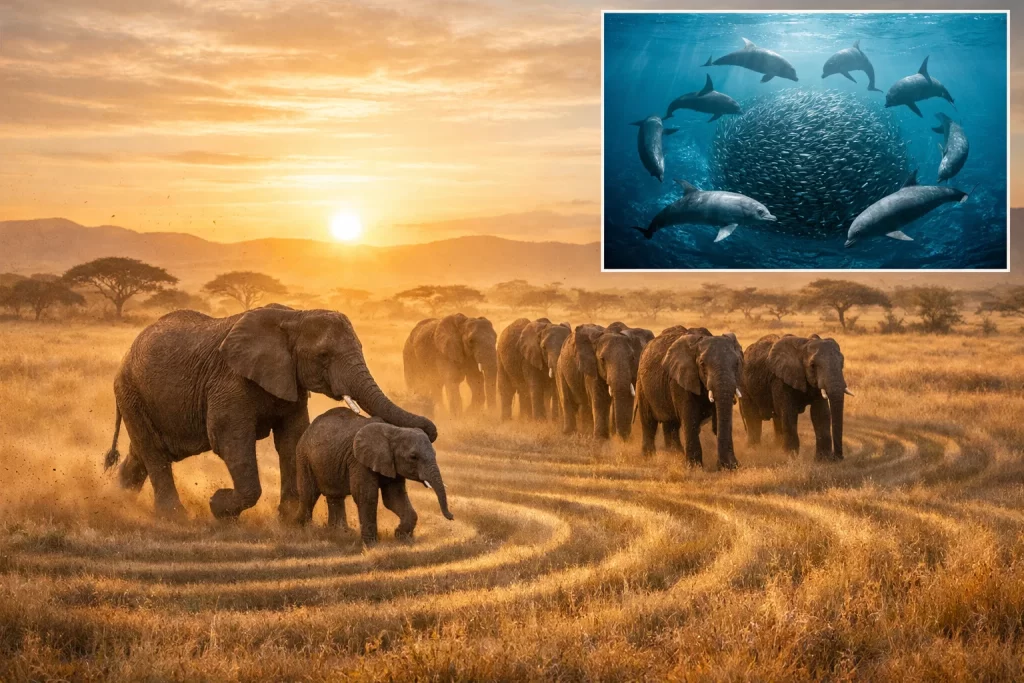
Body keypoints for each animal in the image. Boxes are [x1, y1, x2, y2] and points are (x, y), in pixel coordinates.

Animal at [103, 305, 437, 520]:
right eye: (323, 356)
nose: (431, 430)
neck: (294, 317)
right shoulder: (230, 380)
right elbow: (229, 439)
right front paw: (218, 505)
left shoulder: (290, 379)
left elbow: (291, 439)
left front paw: (286, 517)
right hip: (130, 391)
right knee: (154, 453)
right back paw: (174, 518)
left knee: (143, 454)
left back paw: (118, 501)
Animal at [295, 407, 453, 545]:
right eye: (413, 457)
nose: (451, 516)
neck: (393, 431)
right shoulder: (358, 460)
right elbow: (366, 496)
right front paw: (371, 545)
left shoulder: (391, 464)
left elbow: (394, 497)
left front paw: (401, 537)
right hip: (304, 457)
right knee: (309, 494)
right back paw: (301, 529)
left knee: (335, 496)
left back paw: (339, 532)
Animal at [635, 326, 743, 469]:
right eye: (702, 364)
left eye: (737, 364)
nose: (728, 465)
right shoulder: (680, 379)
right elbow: (690, 417)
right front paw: (694, 467)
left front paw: (729, 467)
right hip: (642, 384)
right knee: (649, 422)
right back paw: (649, 458)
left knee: (671, 424)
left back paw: (675, 455)